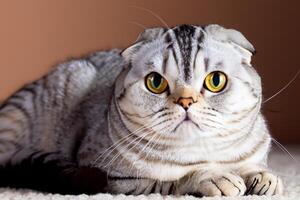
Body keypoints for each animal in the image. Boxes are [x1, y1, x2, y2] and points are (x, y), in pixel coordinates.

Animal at [0, 24, 282, 196]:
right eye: (156, 82)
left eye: (215, 80)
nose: (186, 101)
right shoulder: (116, 179)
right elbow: (173, 181)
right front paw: (213, 178)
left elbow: (251, 164)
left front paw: (261, 176)